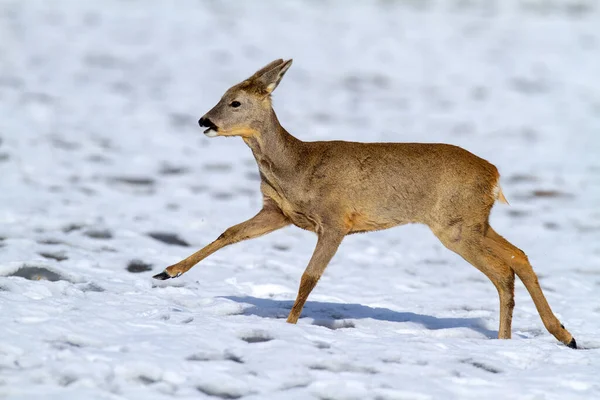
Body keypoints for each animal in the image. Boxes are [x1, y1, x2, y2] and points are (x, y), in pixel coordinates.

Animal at [154, 58, 576, 346]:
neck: (296, 165)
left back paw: (512, 339)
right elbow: (230, 232)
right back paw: (562, 335)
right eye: (223, 96)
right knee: (519, 255)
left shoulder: (335, 221)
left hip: (455, 226)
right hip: (474, 222)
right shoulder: (280, 212)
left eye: (236, 102)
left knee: (503, 269)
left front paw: (289, 326)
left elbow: (309, 276)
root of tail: (495, 176)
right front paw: (167, 272)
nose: (204, 121)